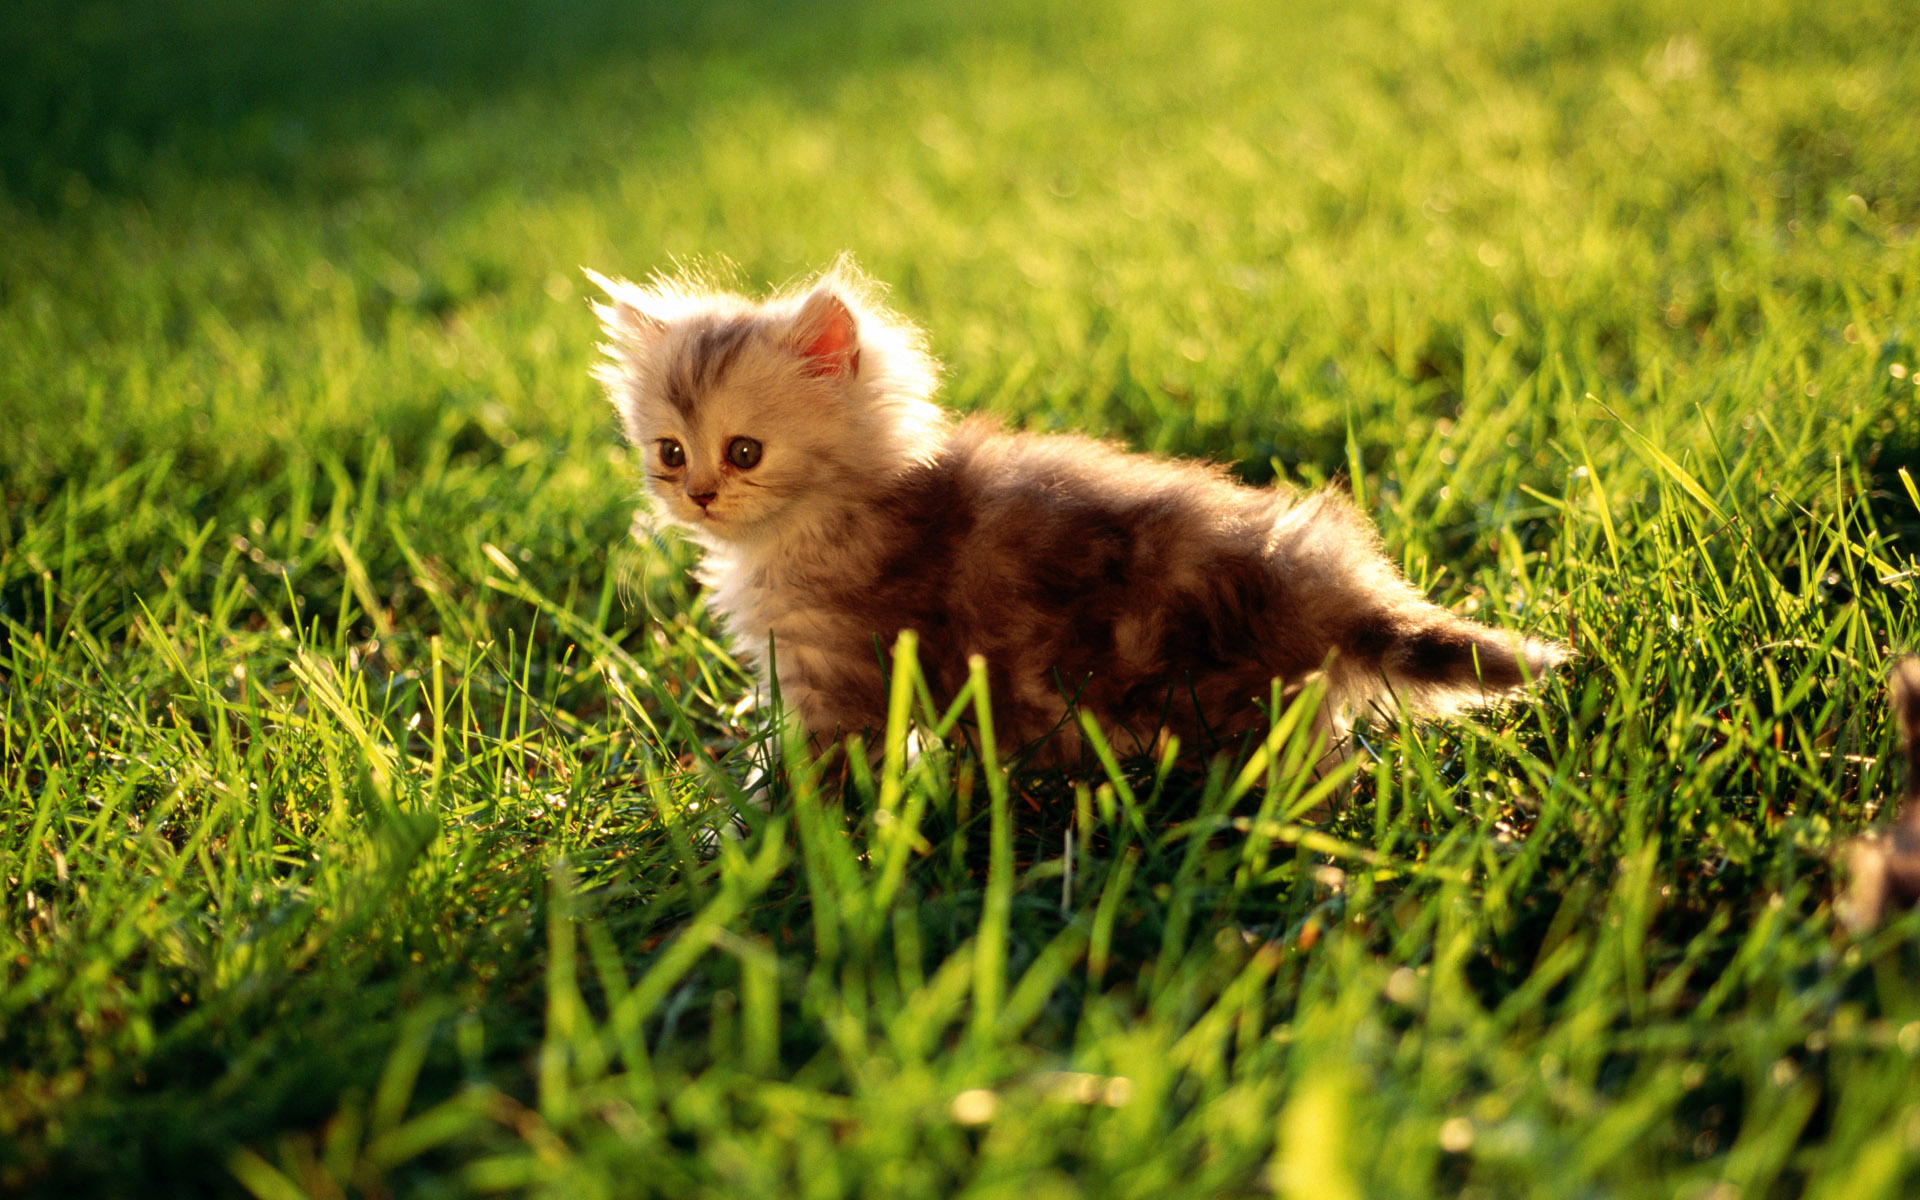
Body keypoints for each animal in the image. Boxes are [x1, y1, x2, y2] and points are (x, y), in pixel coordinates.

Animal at [591, 261, 1566, 768]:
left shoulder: (840, 677)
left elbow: (810, 776)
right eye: (670, 452)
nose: (698, 493)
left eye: (744, 453)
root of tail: (1319, 579)